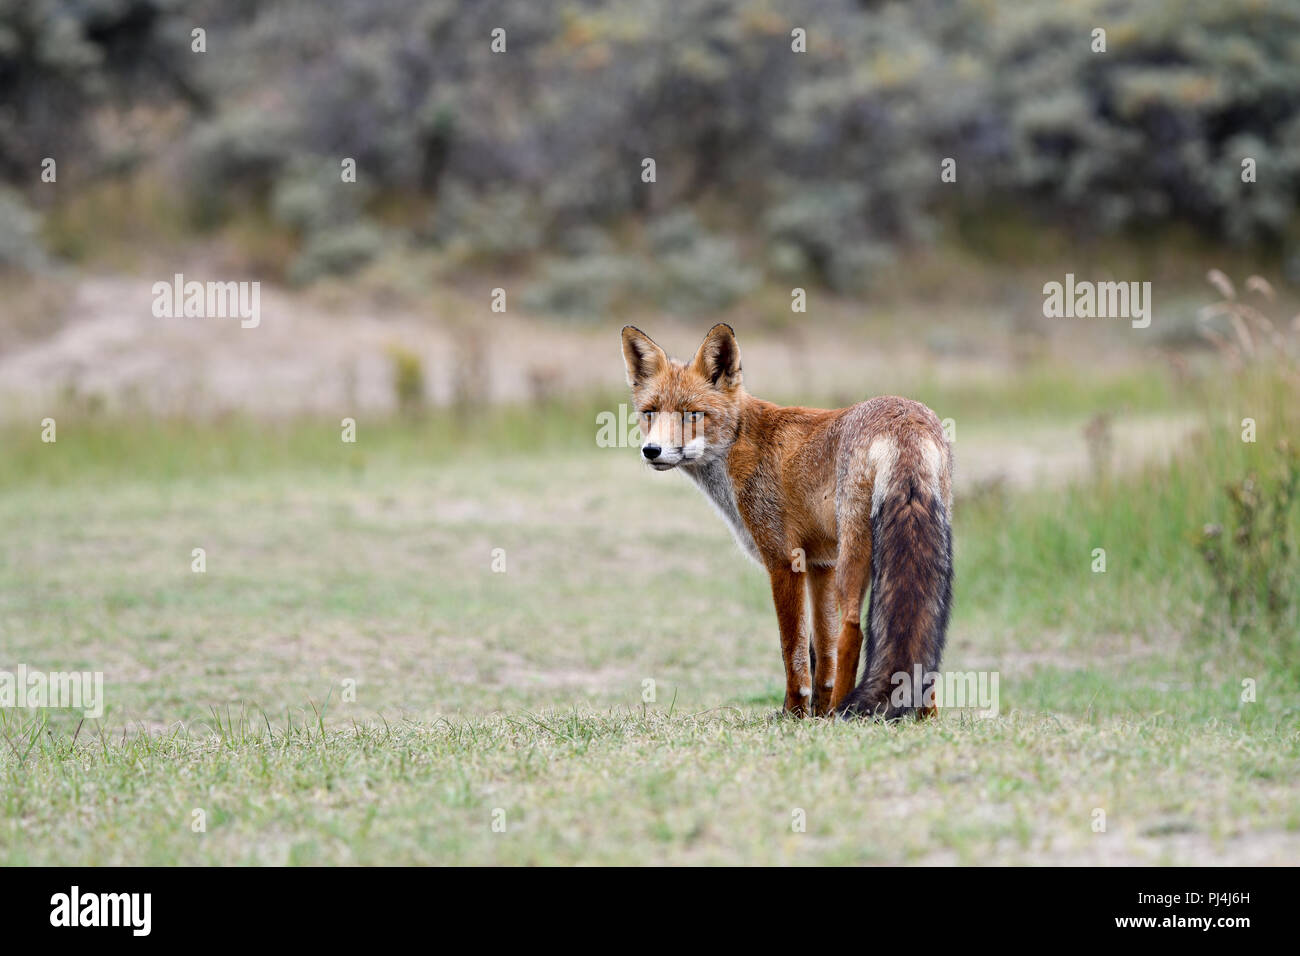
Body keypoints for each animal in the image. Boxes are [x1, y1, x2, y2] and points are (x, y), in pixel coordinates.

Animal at [618, 321, 956, 717]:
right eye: (650, 412)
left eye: (692, 414)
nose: (651, 451)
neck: (741, 444)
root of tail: (904, 419)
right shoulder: (820, 564)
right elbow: (821, 651)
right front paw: (816, 711)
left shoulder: (784, 560)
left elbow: (793, 650)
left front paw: (795, 712)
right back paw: (923, 717)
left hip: (854, 554)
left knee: (853, 629)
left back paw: (842, 714)